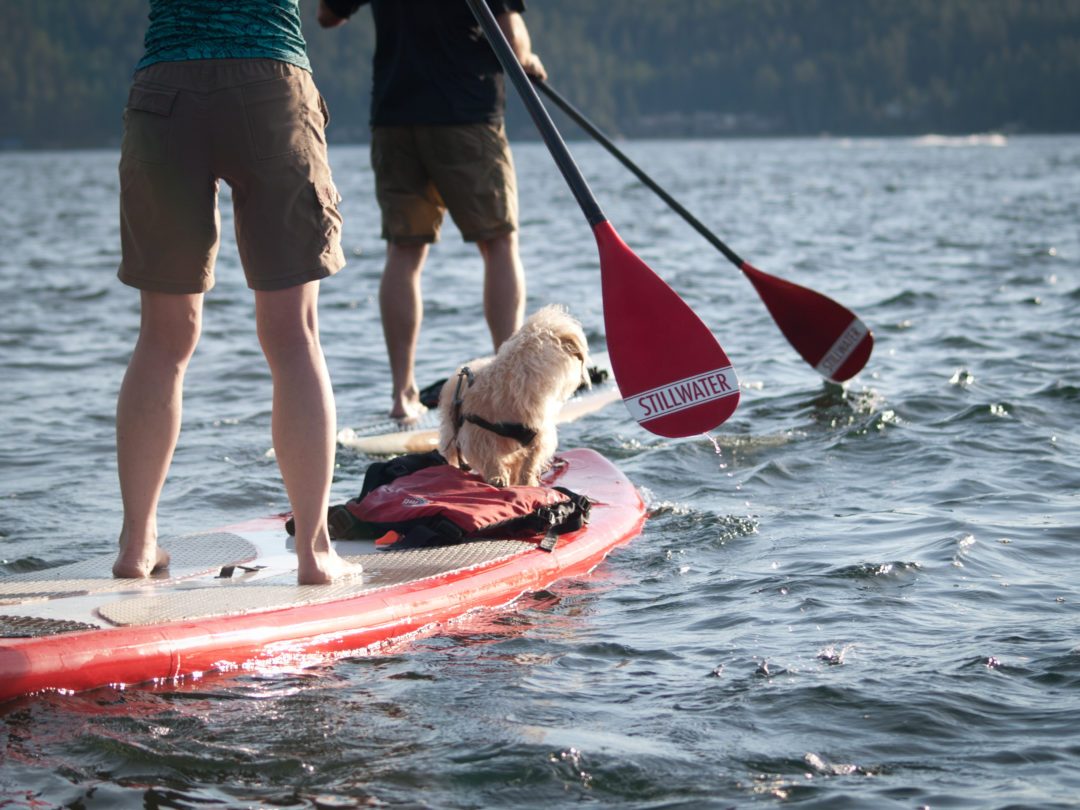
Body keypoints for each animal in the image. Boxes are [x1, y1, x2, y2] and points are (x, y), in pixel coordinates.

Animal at [436, 306, 591, 488]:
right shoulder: (477, 434)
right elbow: (490, 458)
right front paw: (497, 477)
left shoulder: (538, 437)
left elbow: (530, 462)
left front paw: (527, 482)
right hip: (451, 430)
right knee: (452, 452)